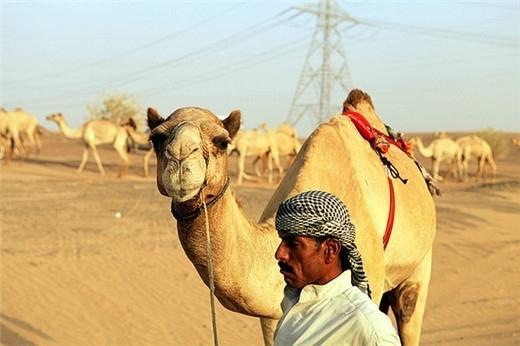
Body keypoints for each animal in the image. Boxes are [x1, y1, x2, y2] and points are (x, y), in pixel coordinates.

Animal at [147, 88, 438, 344]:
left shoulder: (369, 277)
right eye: (157, 138)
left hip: (419, 263)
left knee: (409, 309)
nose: (181, 155)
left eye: (222, 142)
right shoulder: (273, 312)